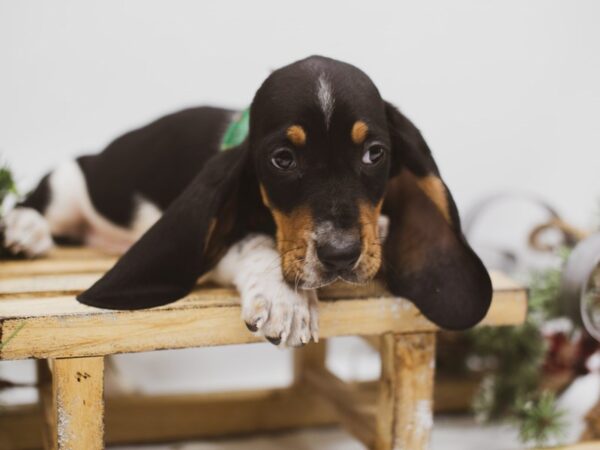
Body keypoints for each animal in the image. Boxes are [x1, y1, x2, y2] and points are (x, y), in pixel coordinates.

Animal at [1, 54, 492, 346]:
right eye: (282, 159)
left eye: (375, 153)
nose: (341, 254)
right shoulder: (218, 243)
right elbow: (254, 242)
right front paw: (286, 299)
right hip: (68, 186)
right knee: (36, 202)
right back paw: (23, 232)